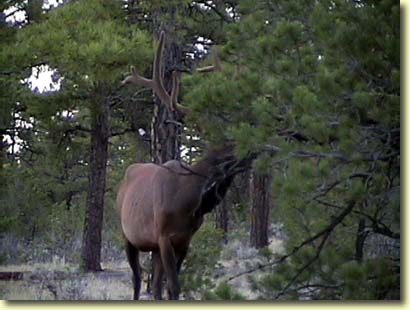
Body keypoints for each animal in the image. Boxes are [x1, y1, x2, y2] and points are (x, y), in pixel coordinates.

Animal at [117, 31, 255, 300]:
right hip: (128, 234)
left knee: (154, 284)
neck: (187, 201)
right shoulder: (163, 236)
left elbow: (170, 287)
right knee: (137, 280)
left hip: (151, 245)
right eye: (230, 148)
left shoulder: (184, 240)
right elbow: (173, 286)